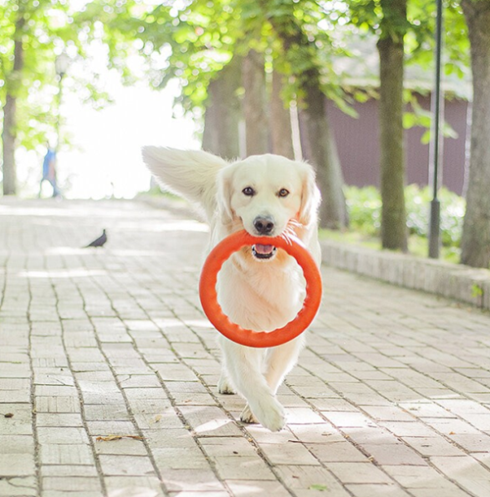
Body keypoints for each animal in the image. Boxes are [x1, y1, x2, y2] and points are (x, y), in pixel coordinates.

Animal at [142, 147, 322, 430]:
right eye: (248, 190)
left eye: (283, 192)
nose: (264, 224)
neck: (265, 267)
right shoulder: (237, 318)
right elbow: (246, 370)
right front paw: (267, 410)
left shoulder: (292, 325)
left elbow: (272, 370)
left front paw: (259, 409)